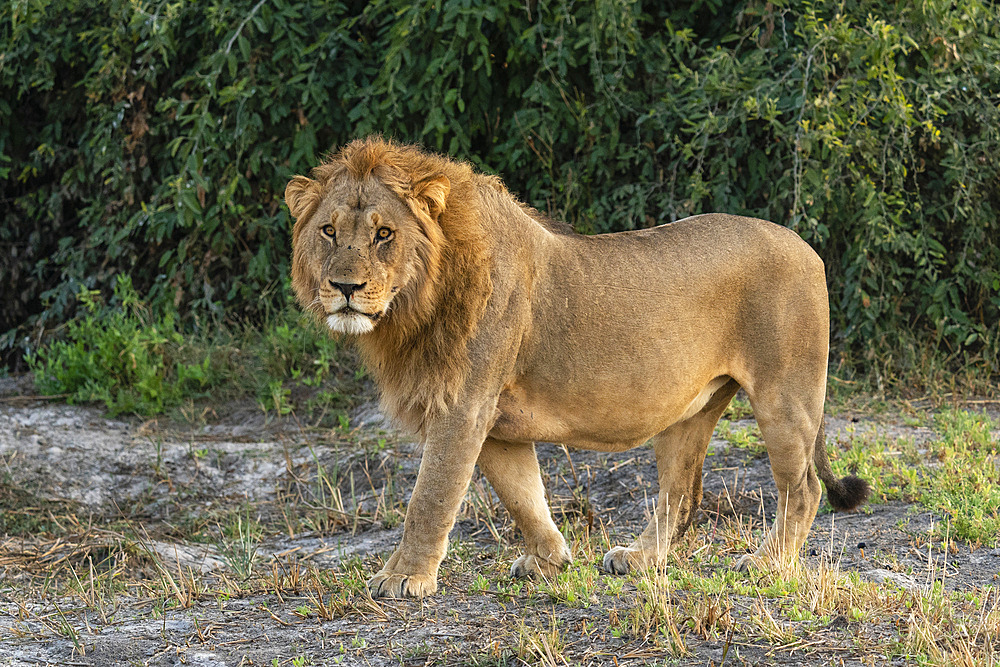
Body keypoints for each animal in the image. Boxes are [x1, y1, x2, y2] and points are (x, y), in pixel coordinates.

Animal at [282, 137, 868, 600]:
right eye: (329, 231)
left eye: (384, 234)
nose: (345, 287)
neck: (414, 306)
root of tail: (807, 246)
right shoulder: (495, 423)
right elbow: (523, 495)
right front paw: (550, 560)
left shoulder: (463, 407)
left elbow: (431, 496)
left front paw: (404, 577)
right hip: (691, 409)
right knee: (680, 492)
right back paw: (640, 558)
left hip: (785, 396)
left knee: (803, 488)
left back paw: (768, 563)